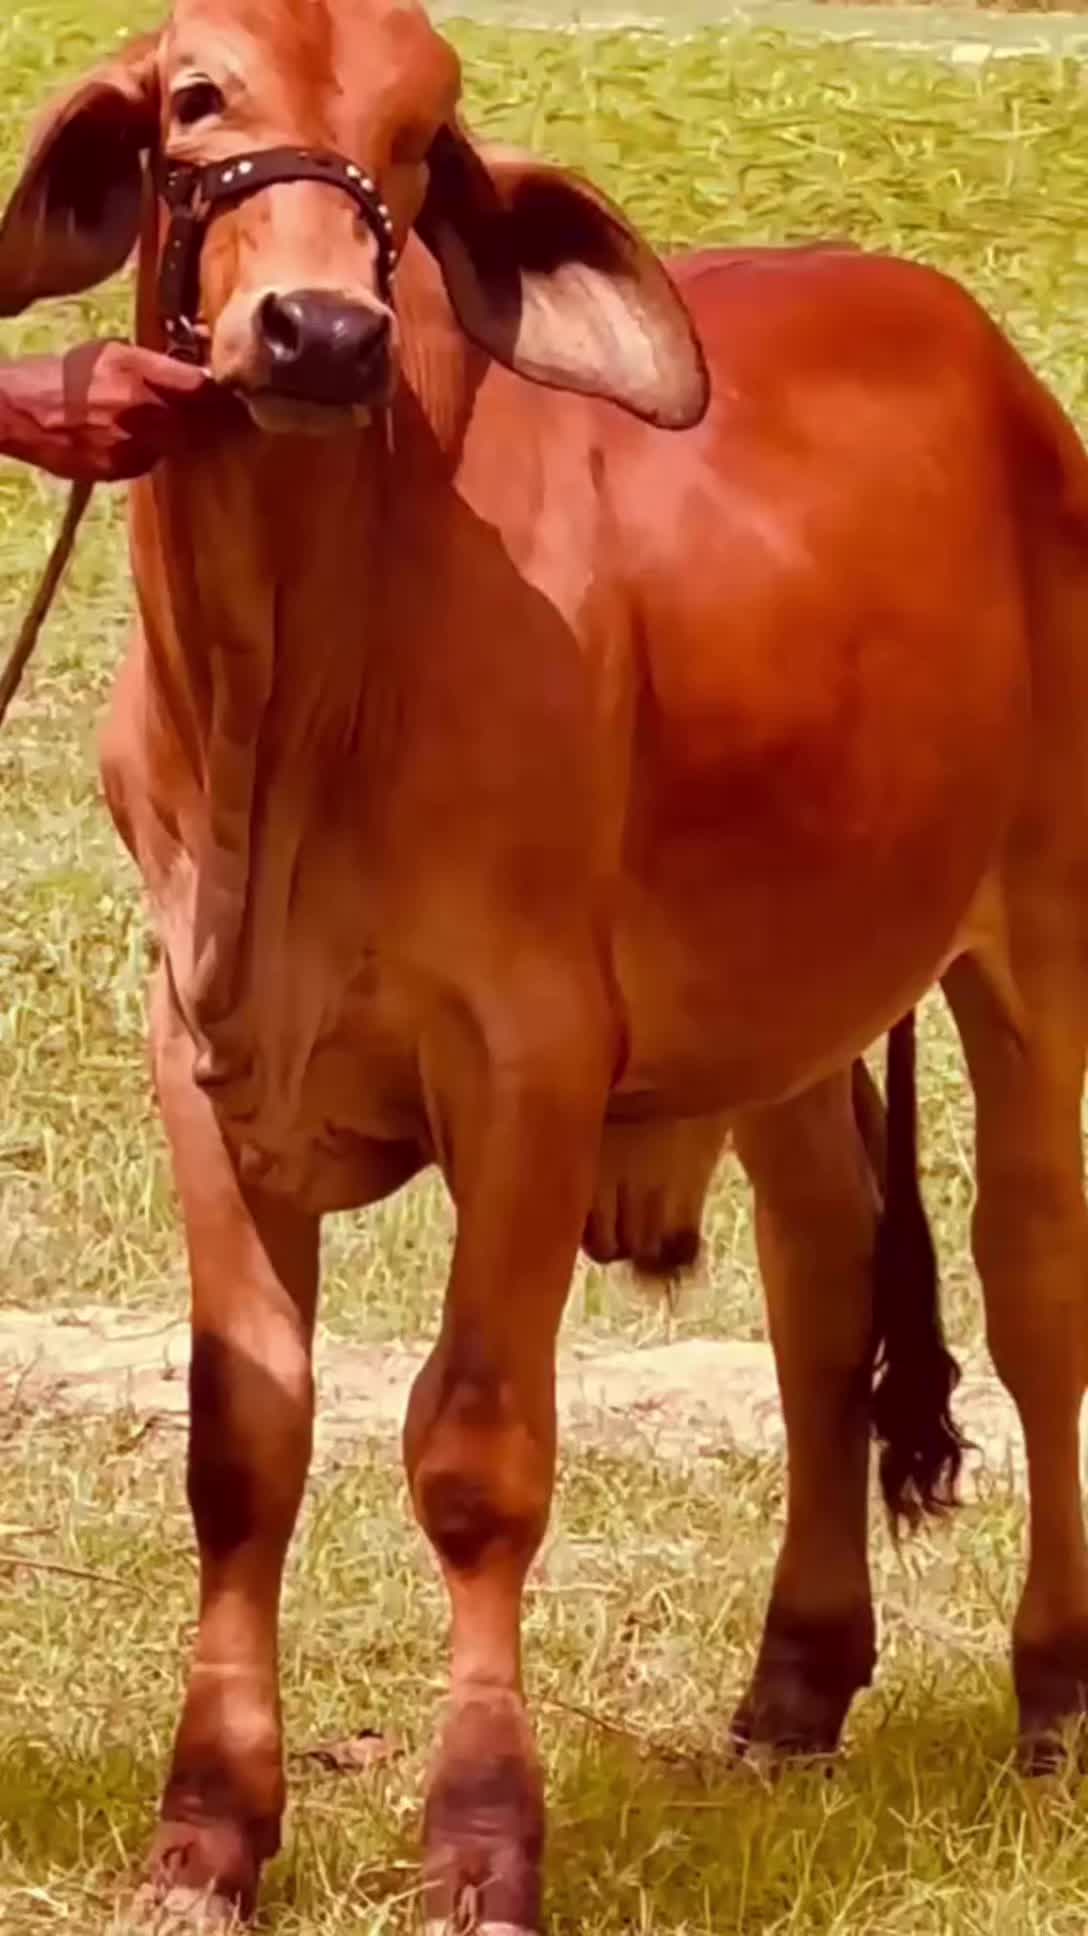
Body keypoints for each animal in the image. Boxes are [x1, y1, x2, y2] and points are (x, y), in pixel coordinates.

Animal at [2, 0, 1087, 1925]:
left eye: (421, 137)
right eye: (195, 96)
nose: (323, 333)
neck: (293, 689)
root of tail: (999, 375)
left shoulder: (527, 1061)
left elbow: (475, 1454)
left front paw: (482, 1839)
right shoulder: (192, 1047)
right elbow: (241, 1442)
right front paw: (208, 1833)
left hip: (1034, 932)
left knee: (1035, 1291)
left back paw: (1052, 1699)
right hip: (784, 1013)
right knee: (822, 1288)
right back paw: (794, 1682)